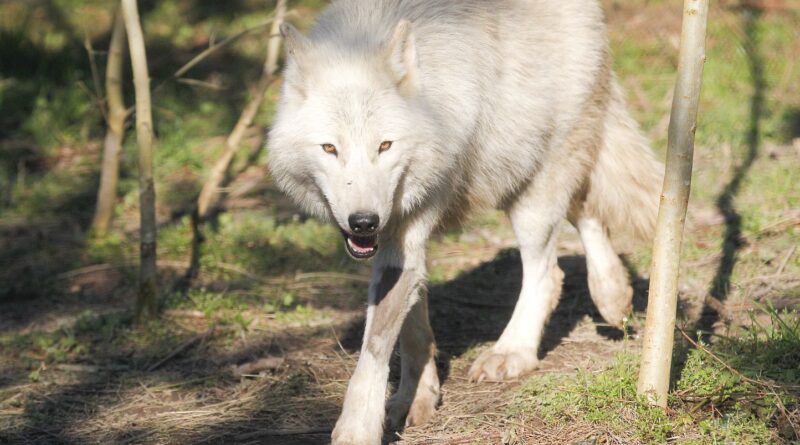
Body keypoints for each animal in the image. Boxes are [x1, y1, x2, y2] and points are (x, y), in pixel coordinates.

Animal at [268, 0, 664, 440]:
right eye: (329, 148)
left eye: (385, 146)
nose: (364, 222)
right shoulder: (401, 237)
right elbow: (412, 331)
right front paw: (416, 398)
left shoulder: (406, 229)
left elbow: (374, 350)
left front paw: (357, 431)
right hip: (517, 173)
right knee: (587, 210)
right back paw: (613, 295)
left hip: (531, 186)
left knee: (548, 271)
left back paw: (513, 351)